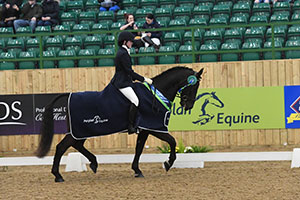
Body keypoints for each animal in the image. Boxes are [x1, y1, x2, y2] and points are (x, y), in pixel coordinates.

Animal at [35, 66, 204, 182]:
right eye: (194, 86)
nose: (188, 106)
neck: (156, 93)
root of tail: (70, 95)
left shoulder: (145, 129)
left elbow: (139, 149)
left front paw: (137, 170)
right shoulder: (155, 128)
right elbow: (172, 141)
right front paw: (168, 163)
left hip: (81, 131)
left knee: (76, 145)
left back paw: (93, 163)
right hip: (80, 130)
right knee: (61, 147)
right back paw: (58, 175)